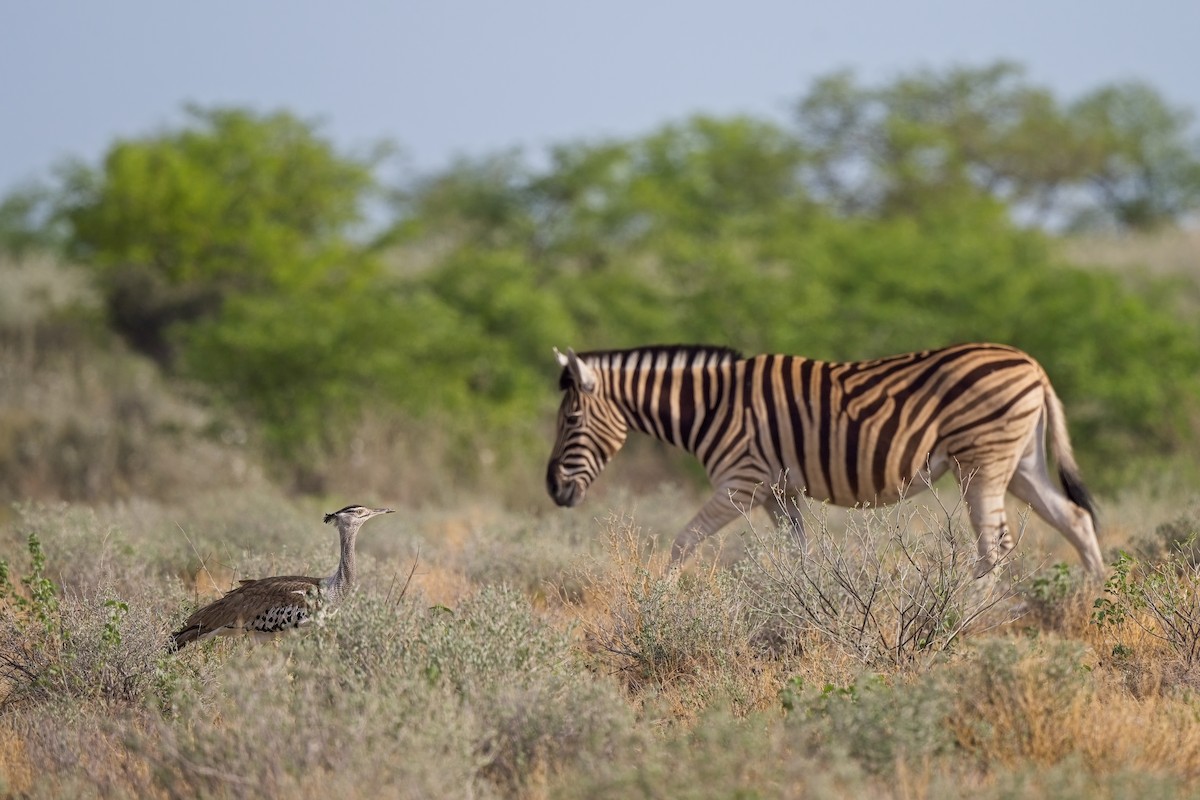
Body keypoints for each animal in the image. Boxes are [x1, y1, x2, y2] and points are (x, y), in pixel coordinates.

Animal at [544, 340, 1104, 578]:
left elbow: (683, 543)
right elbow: (798, 553)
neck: (712, 405)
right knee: (1075, 518)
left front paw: (657, 600)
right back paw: (1095, 598)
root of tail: (1032, 364)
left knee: (995, 546)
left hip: (982, 464)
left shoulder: (742, 483)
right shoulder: (778, 492)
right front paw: (804, 603)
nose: (553, 491)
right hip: (1020, 465)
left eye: (569, 421)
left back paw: (969, 618)